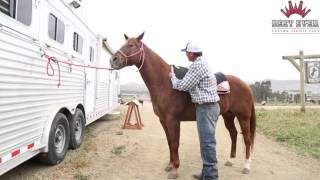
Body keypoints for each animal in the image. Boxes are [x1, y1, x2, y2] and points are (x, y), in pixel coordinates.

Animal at [109, 33, 256, 179]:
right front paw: (169, 165)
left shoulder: (173, 120)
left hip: (243, 117)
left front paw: (175, 169)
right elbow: (169, 142)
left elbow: (175, 143)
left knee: (247, 139)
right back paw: (230, 160)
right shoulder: (163, 120)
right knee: (234, 134)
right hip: (228, 116)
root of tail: (246, 86)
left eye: (131, 45)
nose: (113, 59)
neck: (164, 83)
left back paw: (247, 166)